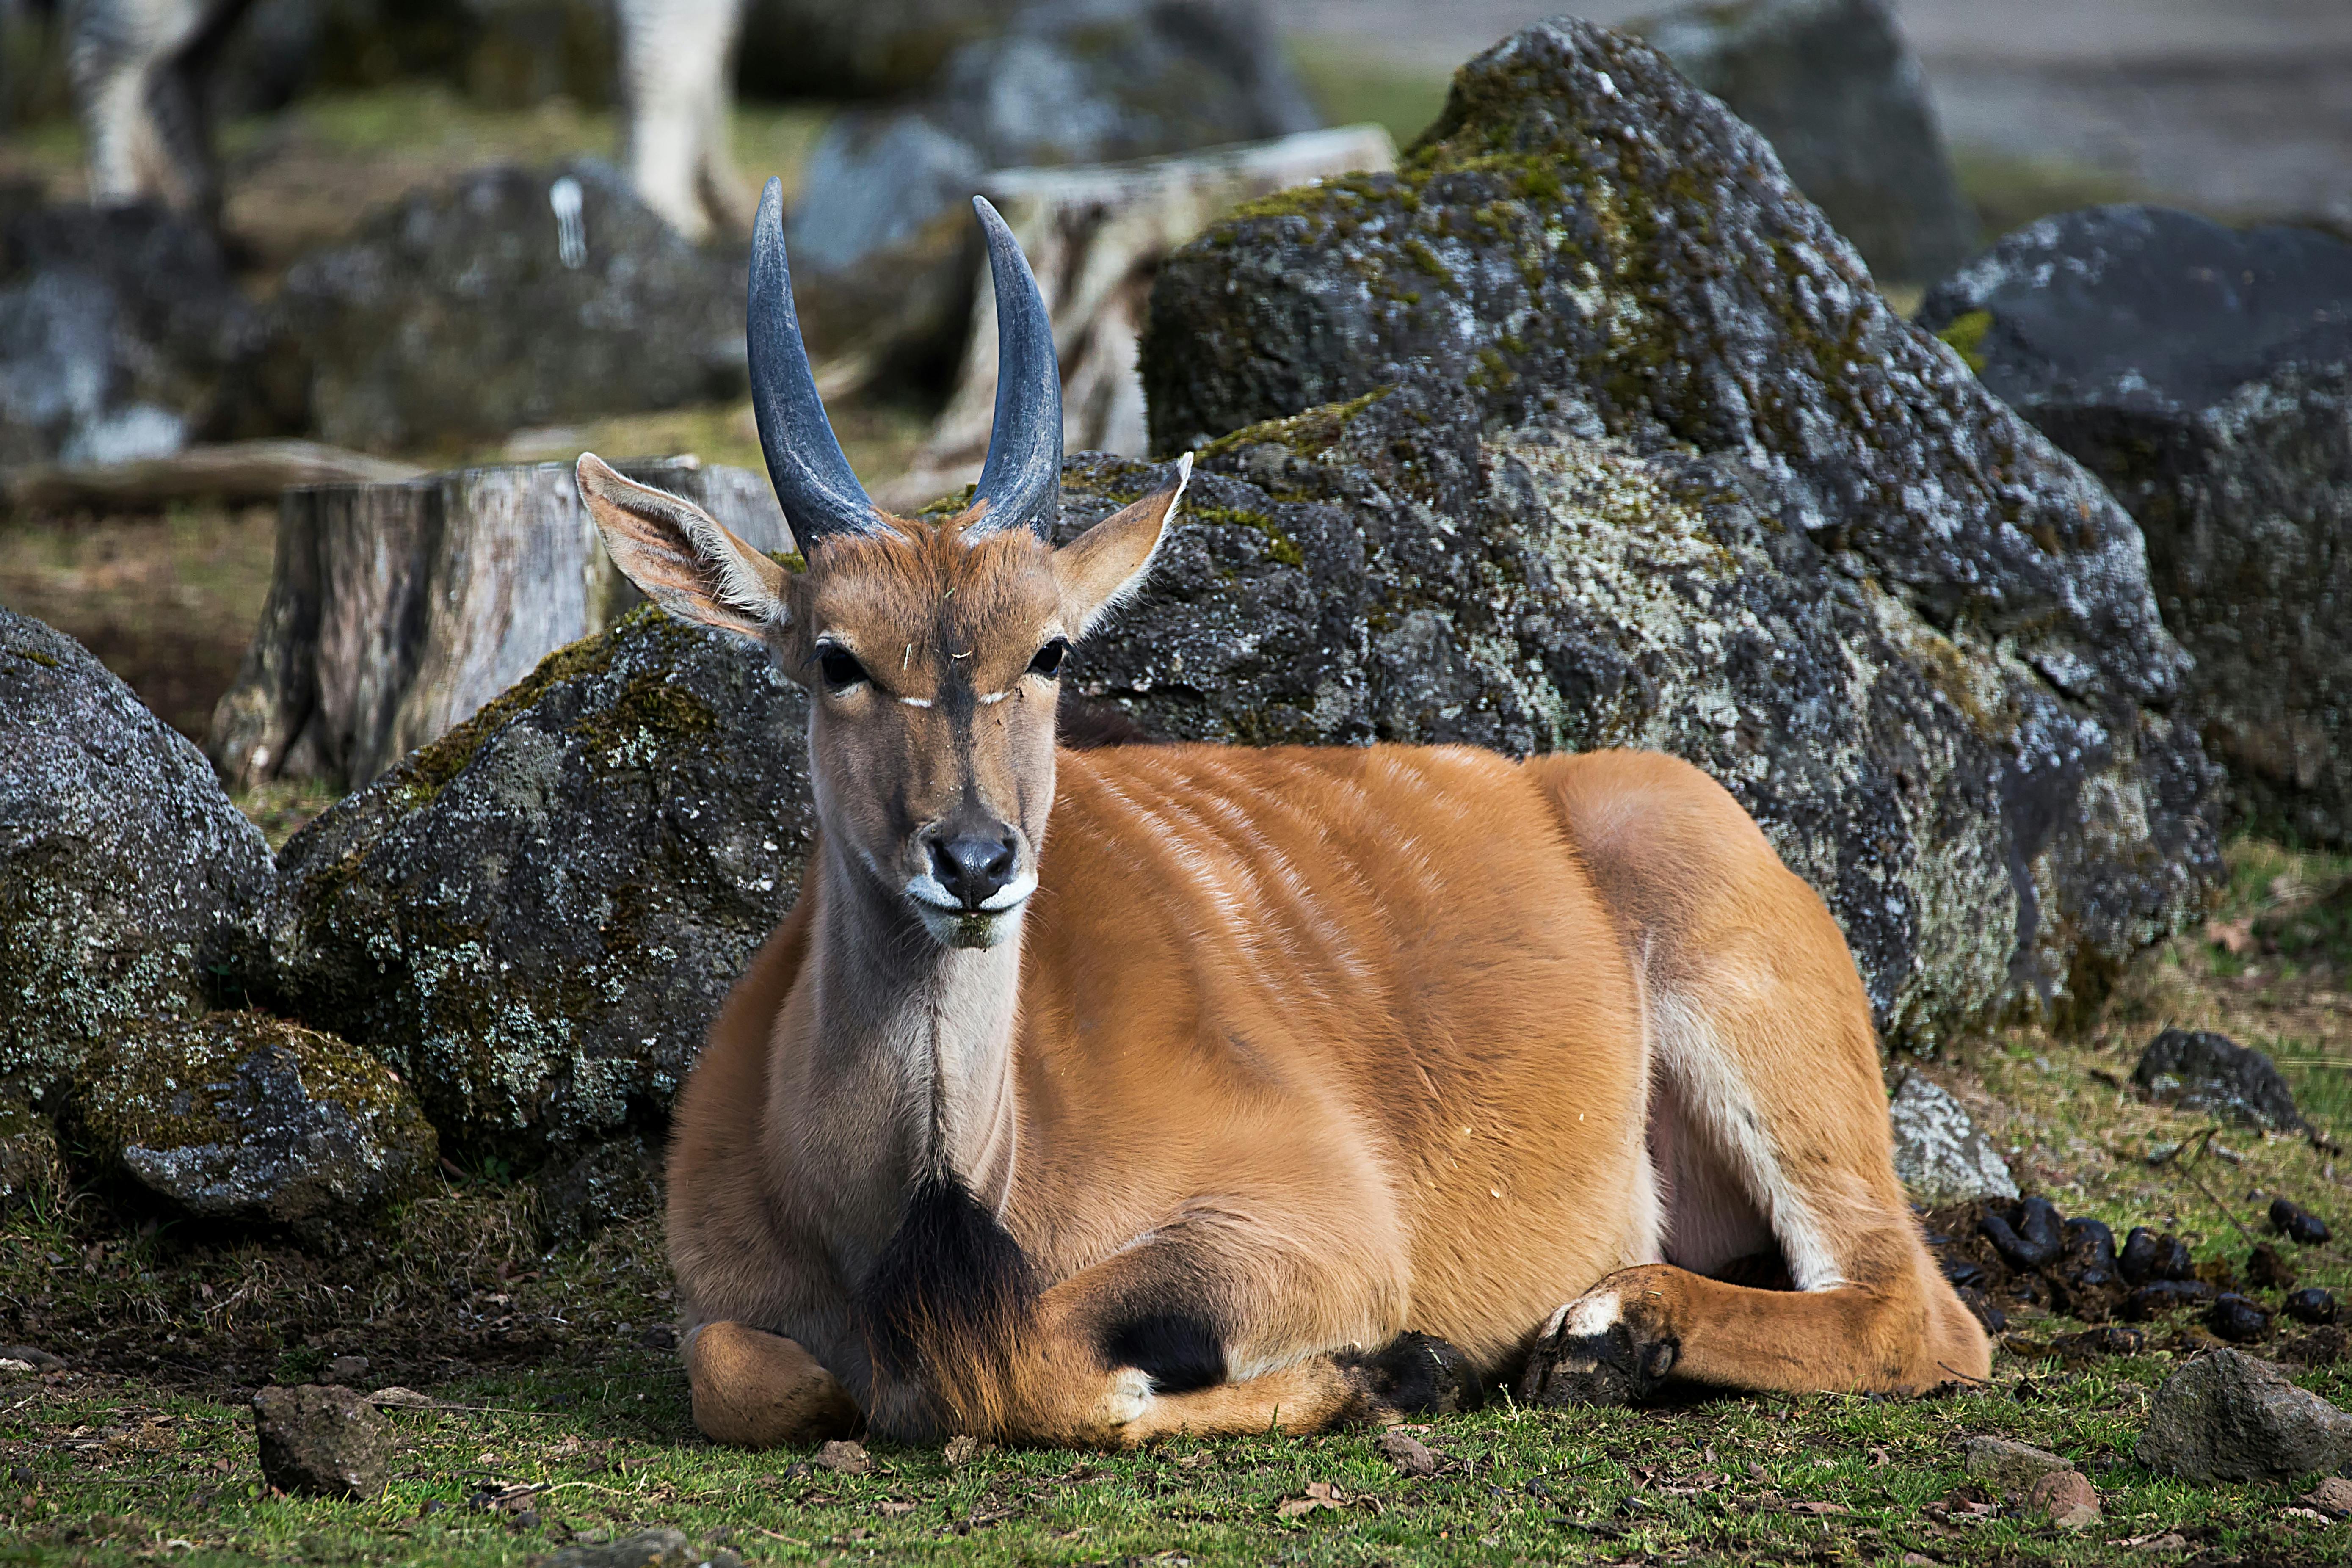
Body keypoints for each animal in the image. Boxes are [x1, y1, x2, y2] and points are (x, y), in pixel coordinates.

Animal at [572, 178, 1992, 1448]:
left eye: (1050, 651)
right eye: (835, 658)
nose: (974, 863)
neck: (924, 1202)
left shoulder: (1320, 1227)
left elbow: (1048, 1355)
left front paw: (1392, 1371)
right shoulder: (722, 1313)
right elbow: (755, 1377)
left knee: (1917, 1313)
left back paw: (1605, 1332)